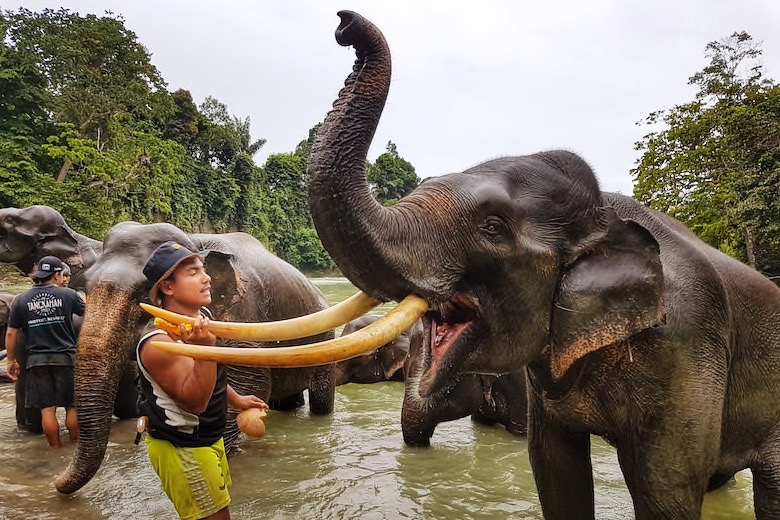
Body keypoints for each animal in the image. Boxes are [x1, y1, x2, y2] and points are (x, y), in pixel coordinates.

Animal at [54, 220, 336, 496]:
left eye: (145, 298)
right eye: (84, 285)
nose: (56, 482)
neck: (194, 241)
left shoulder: (246, 315)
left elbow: (251, 382)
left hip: (323, 339)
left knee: (321, 396)